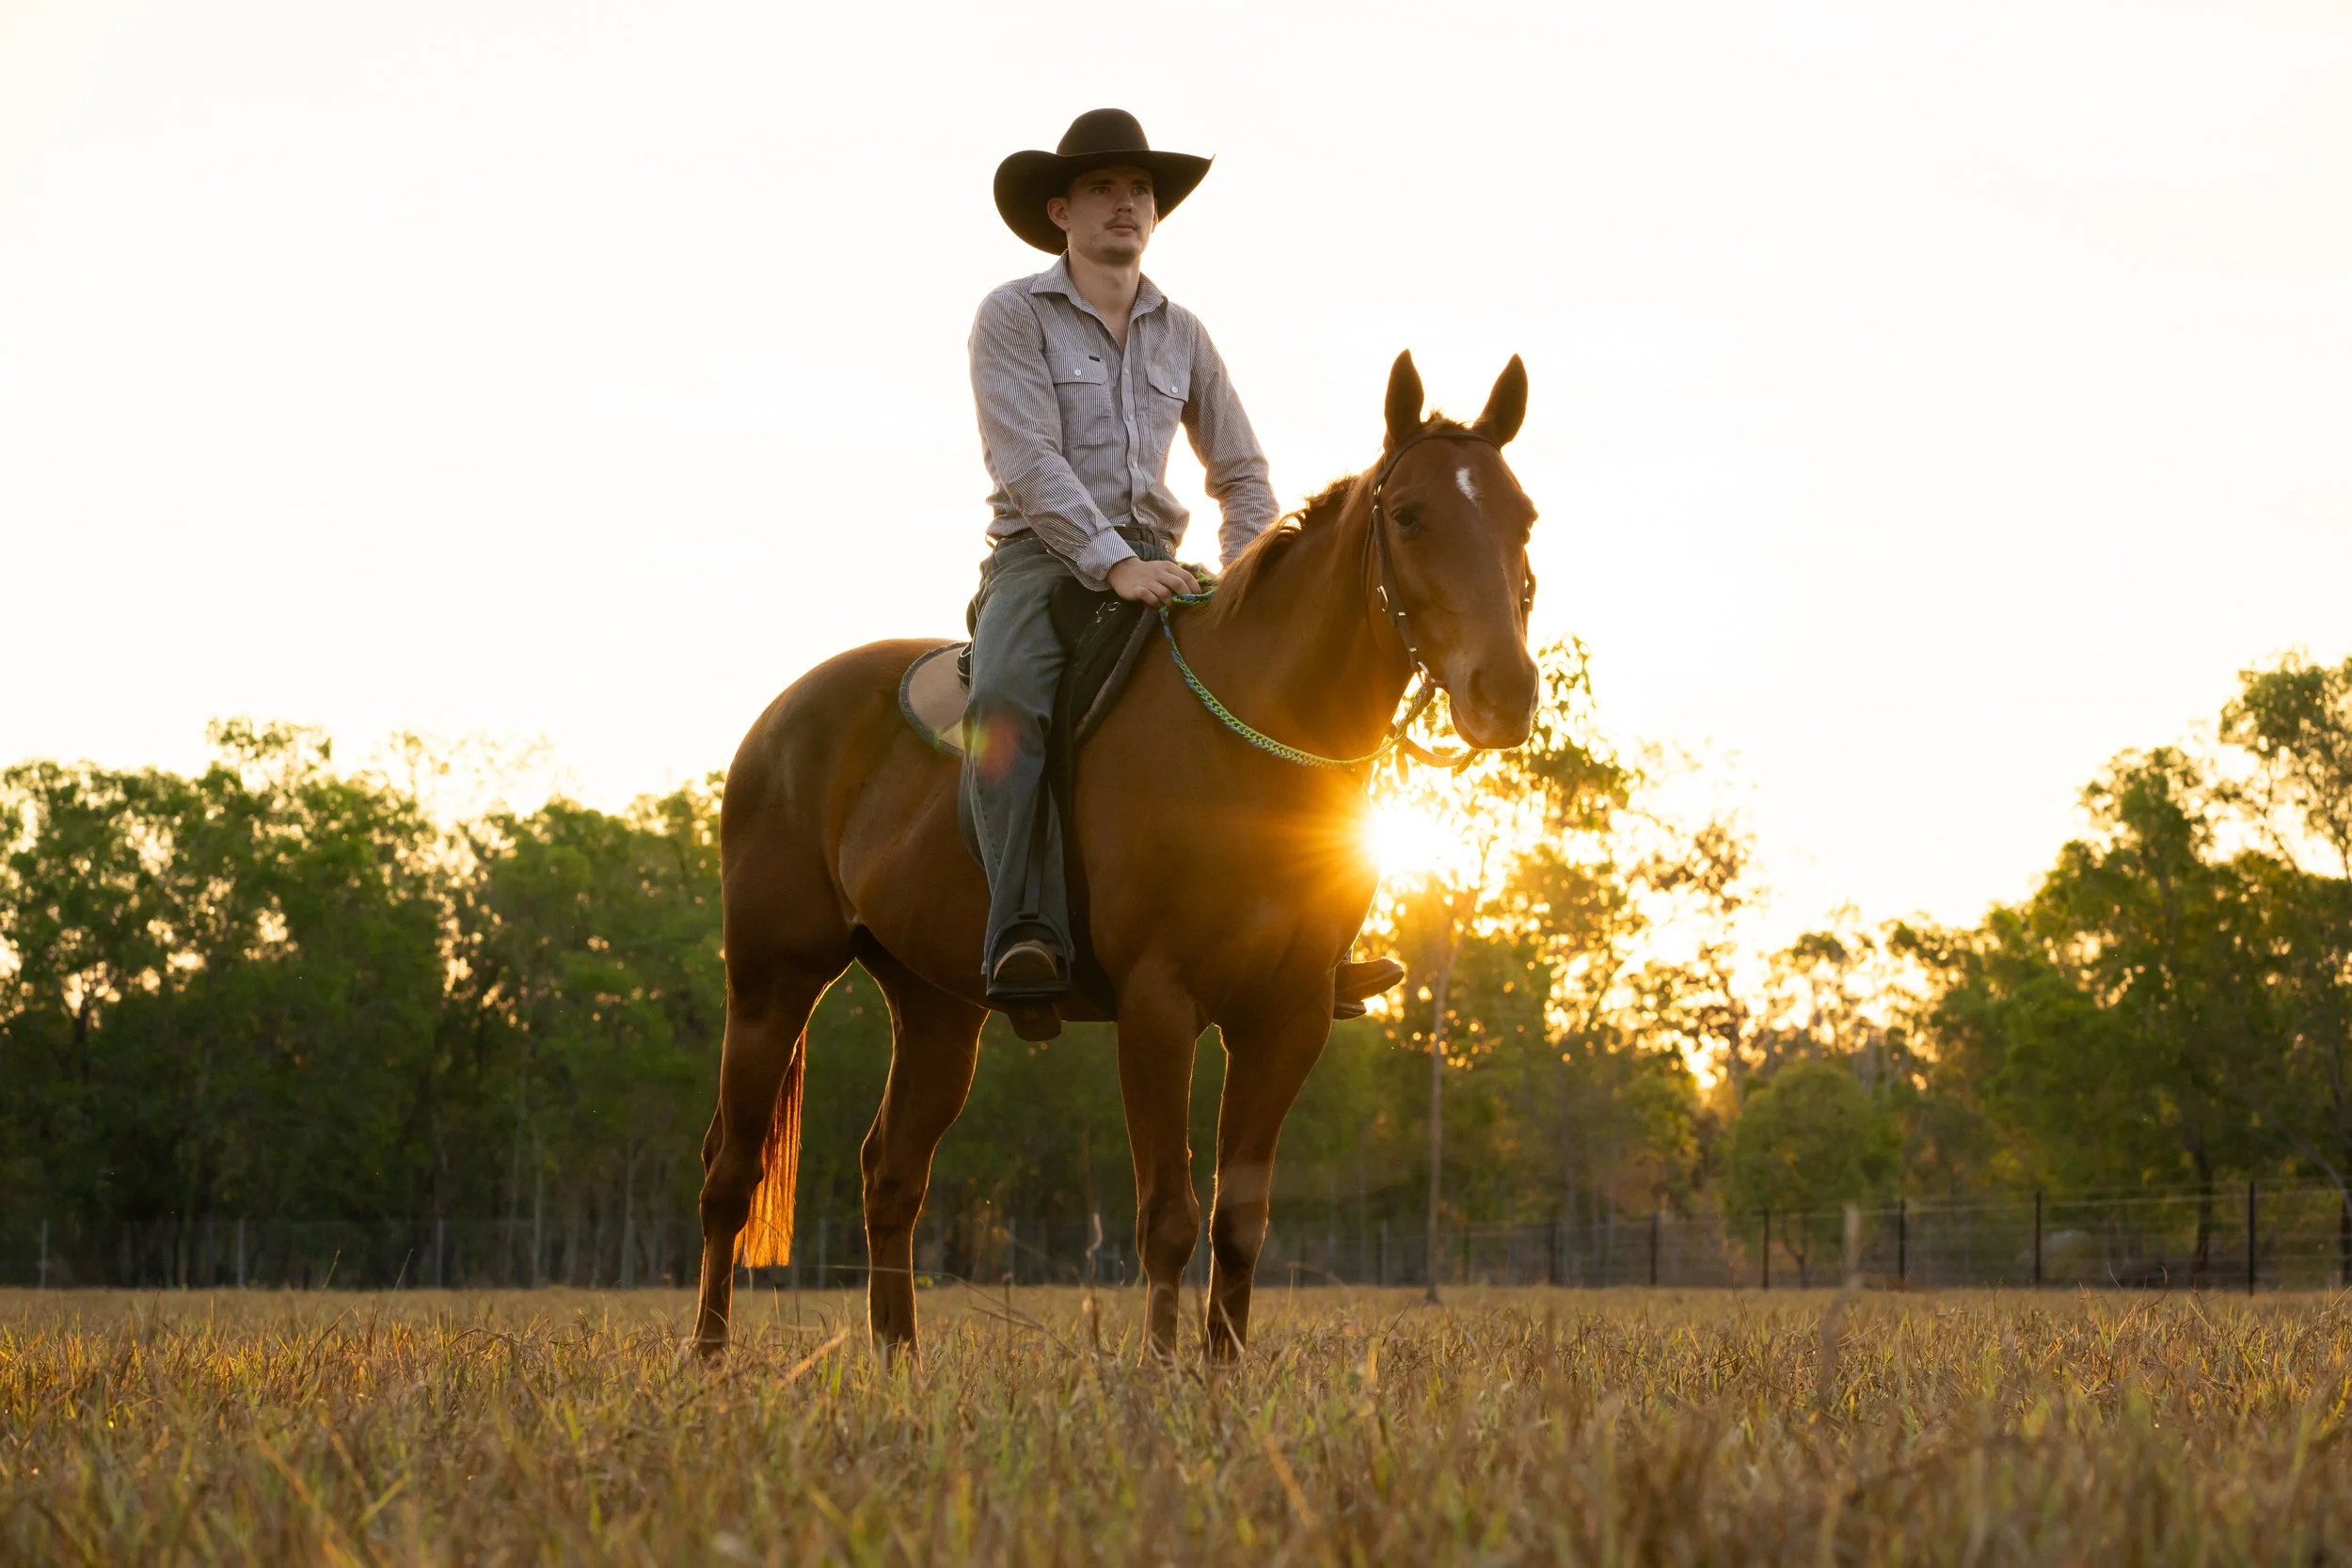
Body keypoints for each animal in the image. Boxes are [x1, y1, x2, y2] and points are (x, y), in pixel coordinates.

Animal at [693, 350, 1540, 1357]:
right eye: (1409, 514)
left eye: (1523, 517)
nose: (1506, 692)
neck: (1252, 742)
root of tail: (779, 719)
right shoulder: (1158, 1005)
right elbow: (1166, 1217)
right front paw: (1161, 1373)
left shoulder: (1288, 1016)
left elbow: (1238, 1222)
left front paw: (1221, 1376)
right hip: (771, 982)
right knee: (730, 1172)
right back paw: (708, 1357)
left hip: (937, 1006)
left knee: (891, 1175)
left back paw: (899, 1363)